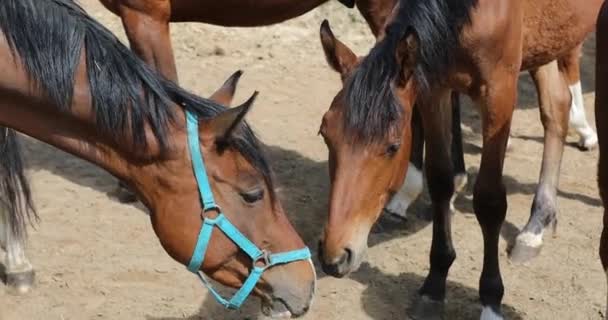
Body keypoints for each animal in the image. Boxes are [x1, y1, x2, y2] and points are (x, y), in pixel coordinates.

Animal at [318, 0, 604, 318]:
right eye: (325, 134)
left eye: (393, 146)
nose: (335, 256)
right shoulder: (435, 88)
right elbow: (440, 180)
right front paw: (434, 284)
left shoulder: (499, 94)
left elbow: (490, 201)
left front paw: (491, 300)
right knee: (557, 106)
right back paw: (536, 225)